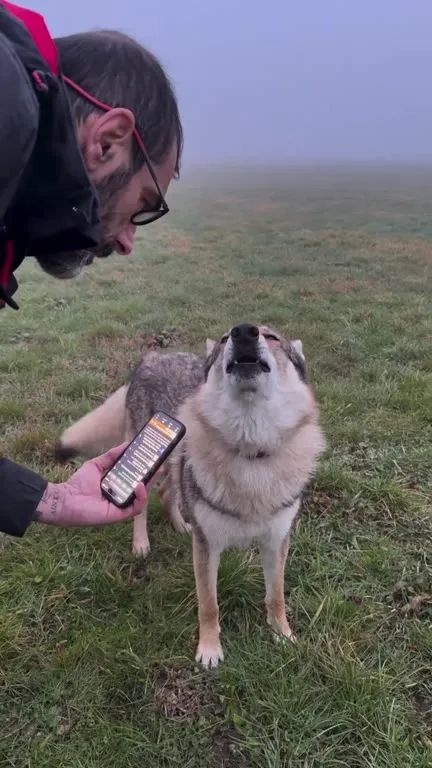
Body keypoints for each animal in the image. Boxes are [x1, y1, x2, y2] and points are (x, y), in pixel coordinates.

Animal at [57, 323, 326, 667]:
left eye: (272, 337)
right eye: (225, 339)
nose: (243, 331)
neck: (250, 454)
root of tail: (153, 358)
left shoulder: (276, 541)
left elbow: (275, 596)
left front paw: (283, 636)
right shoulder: (207, 546)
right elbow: (209, 605)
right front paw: (209, 651)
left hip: (176, 461)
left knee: (167, 494)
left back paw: (181, 525)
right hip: (150, 464)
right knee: (143, 505)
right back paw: (141, 544)